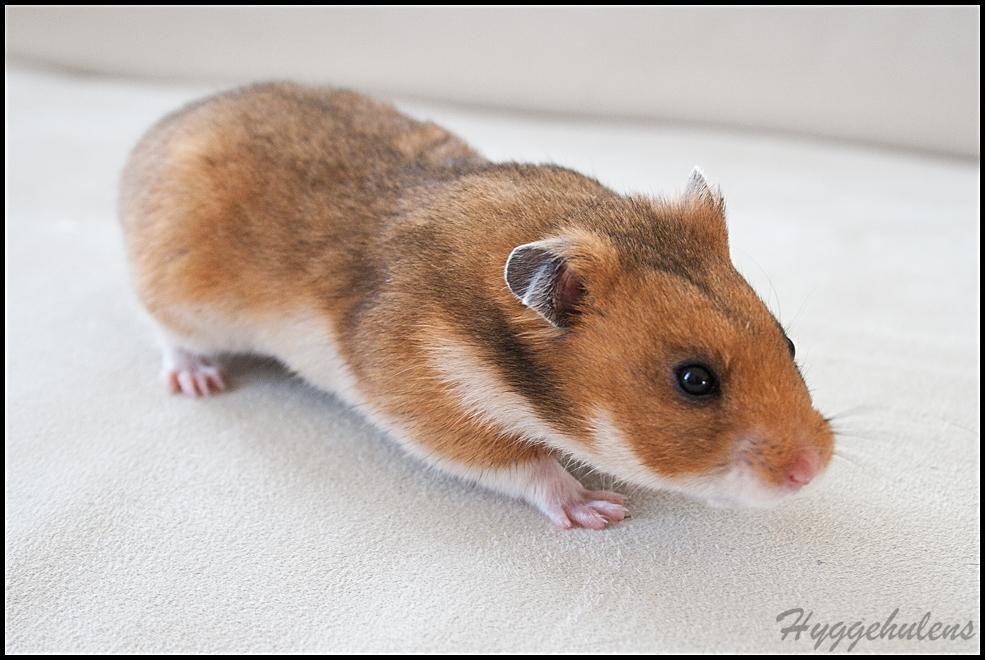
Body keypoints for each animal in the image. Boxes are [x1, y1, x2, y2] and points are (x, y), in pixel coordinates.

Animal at [119, 82, 834, 529]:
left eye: (790, 343)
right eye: (694, 380)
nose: (814, 469)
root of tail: (154, 135)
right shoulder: (429, 400)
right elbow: (528, 465)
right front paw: (601, 512)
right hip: (183, 298)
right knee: (168, 336)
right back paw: (199, 381)